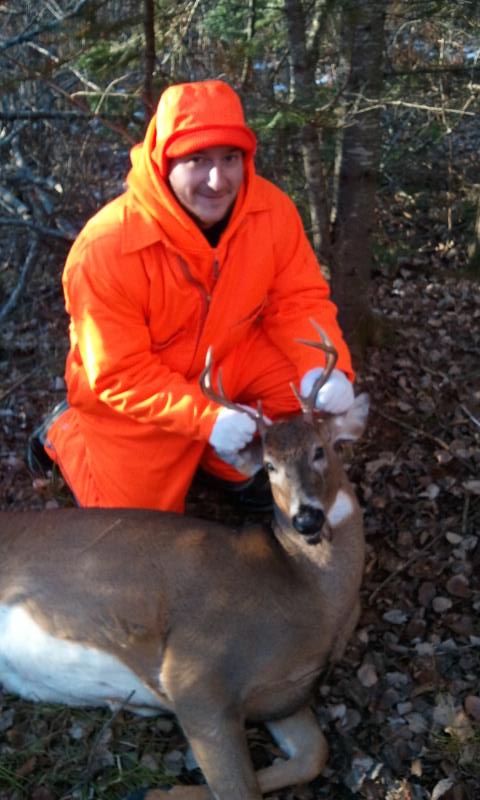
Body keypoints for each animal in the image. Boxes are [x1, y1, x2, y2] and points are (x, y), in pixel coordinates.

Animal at [0, 324, 369, 800]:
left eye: (321, 449)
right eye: (268, 466)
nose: (307, 518)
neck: (314, 601)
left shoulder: (283, 696)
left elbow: (312, 754)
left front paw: (159, 791)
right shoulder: (196, 672)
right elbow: (241, 790)